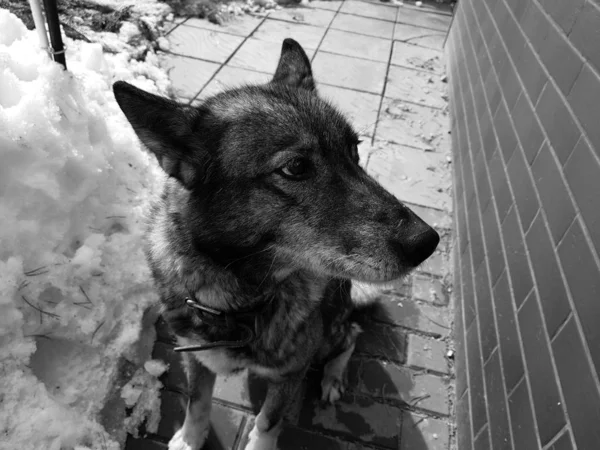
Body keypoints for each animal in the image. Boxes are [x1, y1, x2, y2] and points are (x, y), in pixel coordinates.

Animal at [113, 38, 440, 450]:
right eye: (296, 168)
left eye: (355, 152)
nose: (427, 242)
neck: (239, 299)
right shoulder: (196, 357)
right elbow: (196, 401)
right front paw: (189, 438)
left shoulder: (291, 373)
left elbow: (268, 421)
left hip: (331, 331)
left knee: (350, 336)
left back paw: (332, 378)